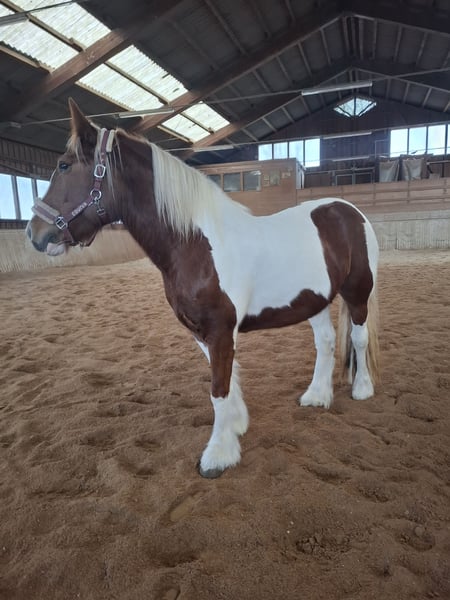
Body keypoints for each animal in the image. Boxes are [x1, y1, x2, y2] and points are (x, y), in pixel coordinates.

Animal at [26, 99, 380, 478]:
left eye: (64, 165)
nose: (34, 234)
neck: (195, 244)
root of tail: (348, 210)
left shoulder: (221, 329)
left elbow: (218, 388)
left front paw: (218, 455)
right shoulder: (201, 332)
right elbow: (227, 381)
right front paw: (236, 427)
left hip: (358, 293)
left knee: (359, 338)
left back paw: (362, 389)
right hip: (314, 300)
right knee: (325, 343)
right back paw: (316, 396)